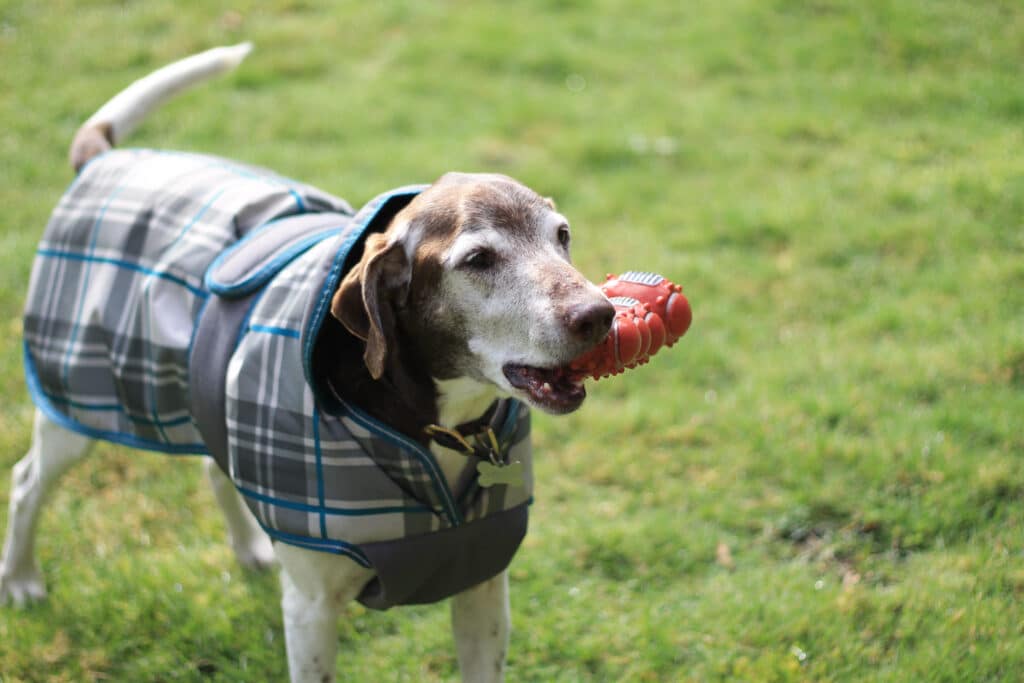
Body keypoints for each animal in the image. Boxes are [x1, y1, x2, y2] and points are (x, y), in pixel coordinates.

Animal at [0, 45, 610, 679]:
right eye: (478, 259)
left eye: (562, 235)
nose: (601, 314)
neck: (433, 430)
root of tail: (103, 159)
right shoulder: (312, 608)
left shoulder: (483, 588)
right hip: (74, 407)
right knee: (26, 482)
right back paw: (20, 581)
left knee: (212, 467)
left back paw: (249, 550)